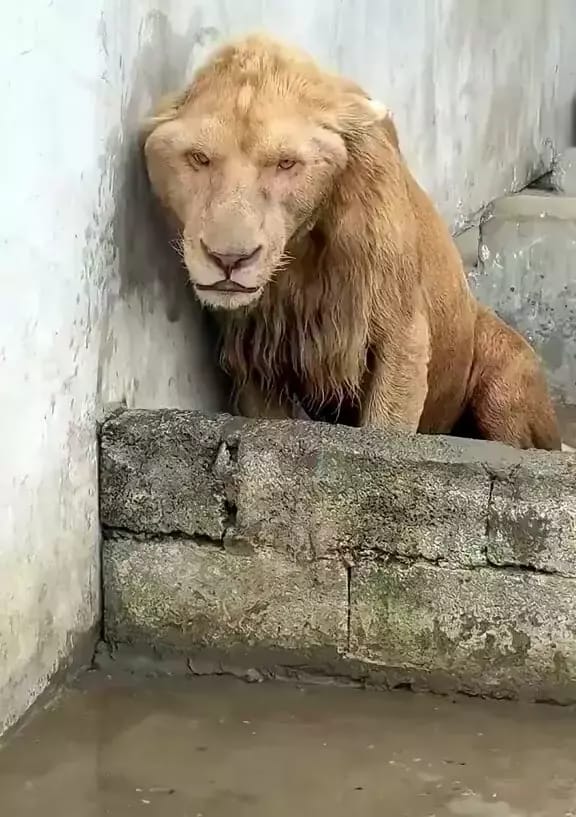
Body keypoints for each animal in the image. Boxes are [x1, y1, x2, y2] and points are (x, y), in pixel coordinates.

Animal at [143, 34, 561, 450]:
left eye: (286, 163)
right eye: (199, 158)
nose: (229, 259)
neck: (298, 254)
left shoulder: (402, 333)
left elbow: (387, 428)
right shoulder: (252, 351)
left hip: (503, 379)